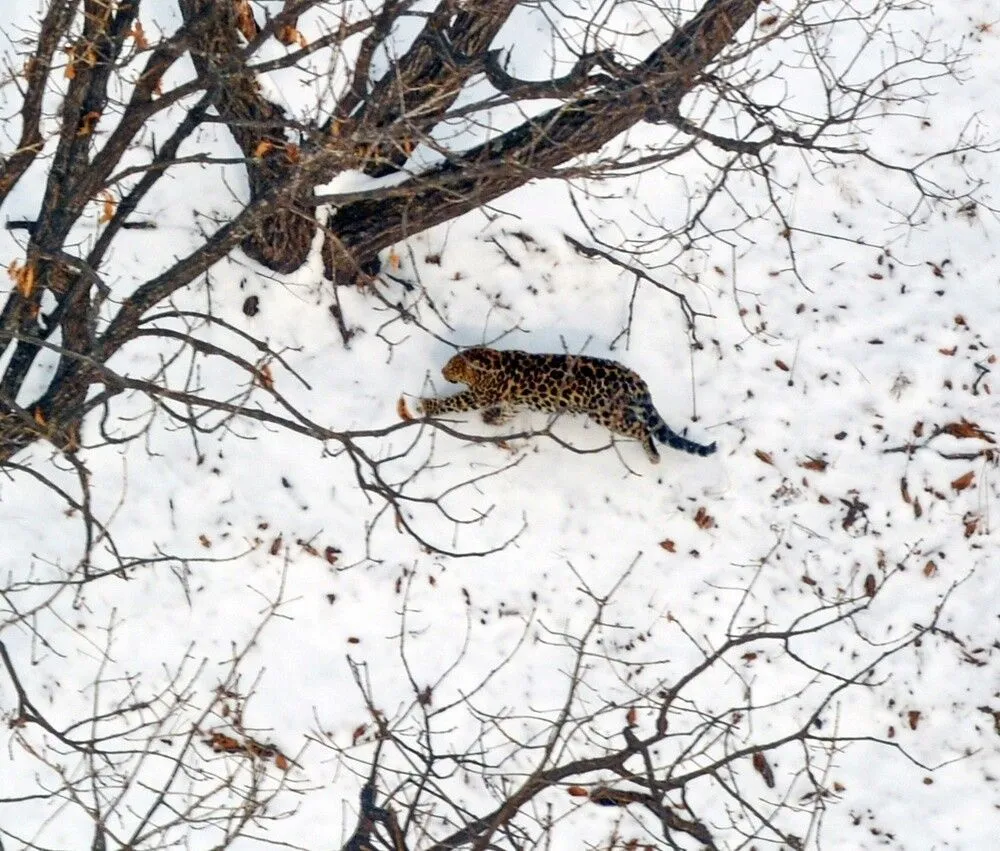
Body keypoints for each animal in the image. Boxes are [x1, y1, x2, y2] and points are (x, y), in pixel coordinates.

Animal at [416, 348, 720, 462]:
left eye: (452, 366)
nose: (442, 371)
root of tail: (633, 377)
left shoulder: (479, 395)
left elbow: (455, 401)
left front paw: (426, 405)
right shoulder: (512, 400)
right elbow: (508, 412)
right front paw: (492, 420)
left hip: (605, 413)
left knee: (641, 429)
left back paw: (653, 455)